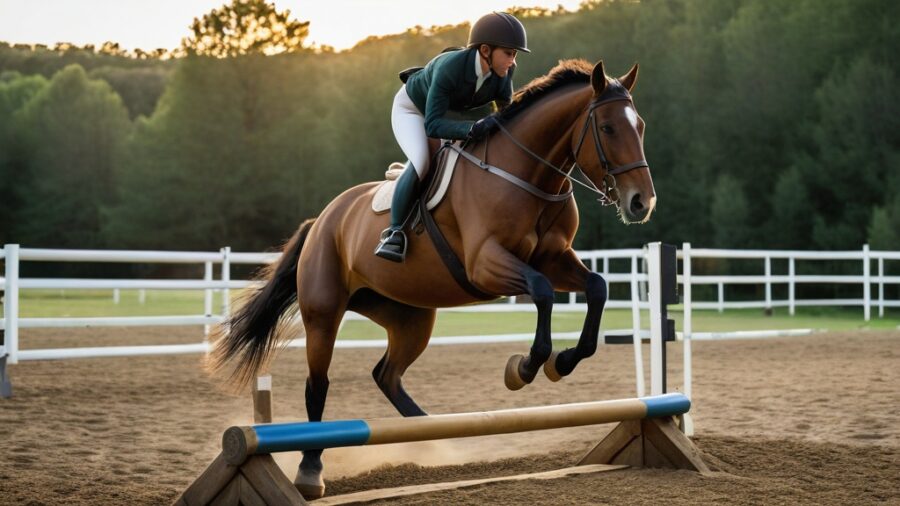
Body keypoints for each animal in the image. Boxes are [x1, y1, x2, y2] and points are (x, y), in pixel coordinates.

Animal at [209, 59, 656, 499]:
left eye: (641, 126)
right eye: (607, 128)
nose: (641, 203)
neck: (528, 177)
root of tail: (322, 219)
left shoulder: (554, 259)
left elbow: (595, 287)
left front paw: (562, 362)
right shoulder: (486, 264)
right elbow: (542, 292)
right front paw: (525, 367)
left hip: (411, 317)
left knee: (387, 375)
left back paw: (434, 437)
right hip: (324, 314)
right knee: (318, 385)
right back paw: (310, 470)